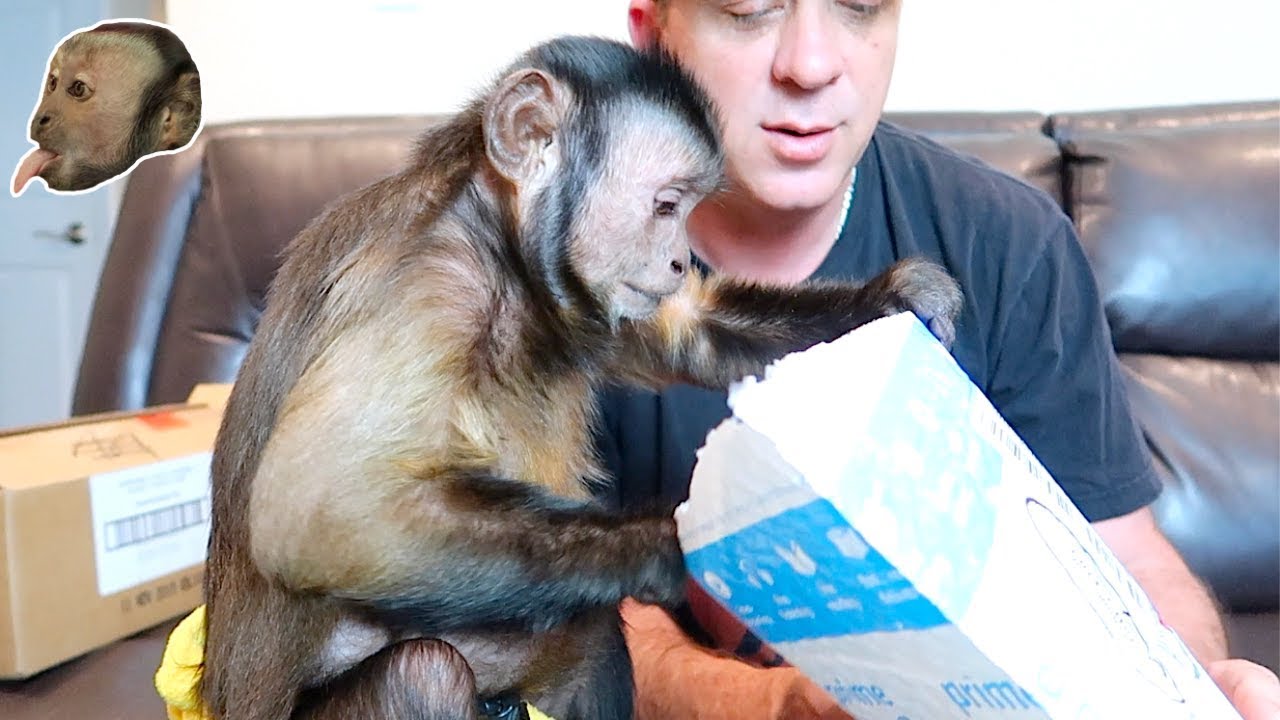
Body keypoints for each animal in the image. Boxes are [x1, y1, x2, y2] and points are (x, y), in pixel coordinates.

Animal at [196, 35, 962, 720]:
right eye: (666, 205)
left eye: (687, 213)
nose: (679, 259)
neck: (502, 253)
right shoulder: (428, 283)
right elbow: (325, 511)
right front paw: (674, 546)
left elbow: (692, 335)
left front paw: (898, 297)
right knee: (423, 674)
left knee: (583, 640)